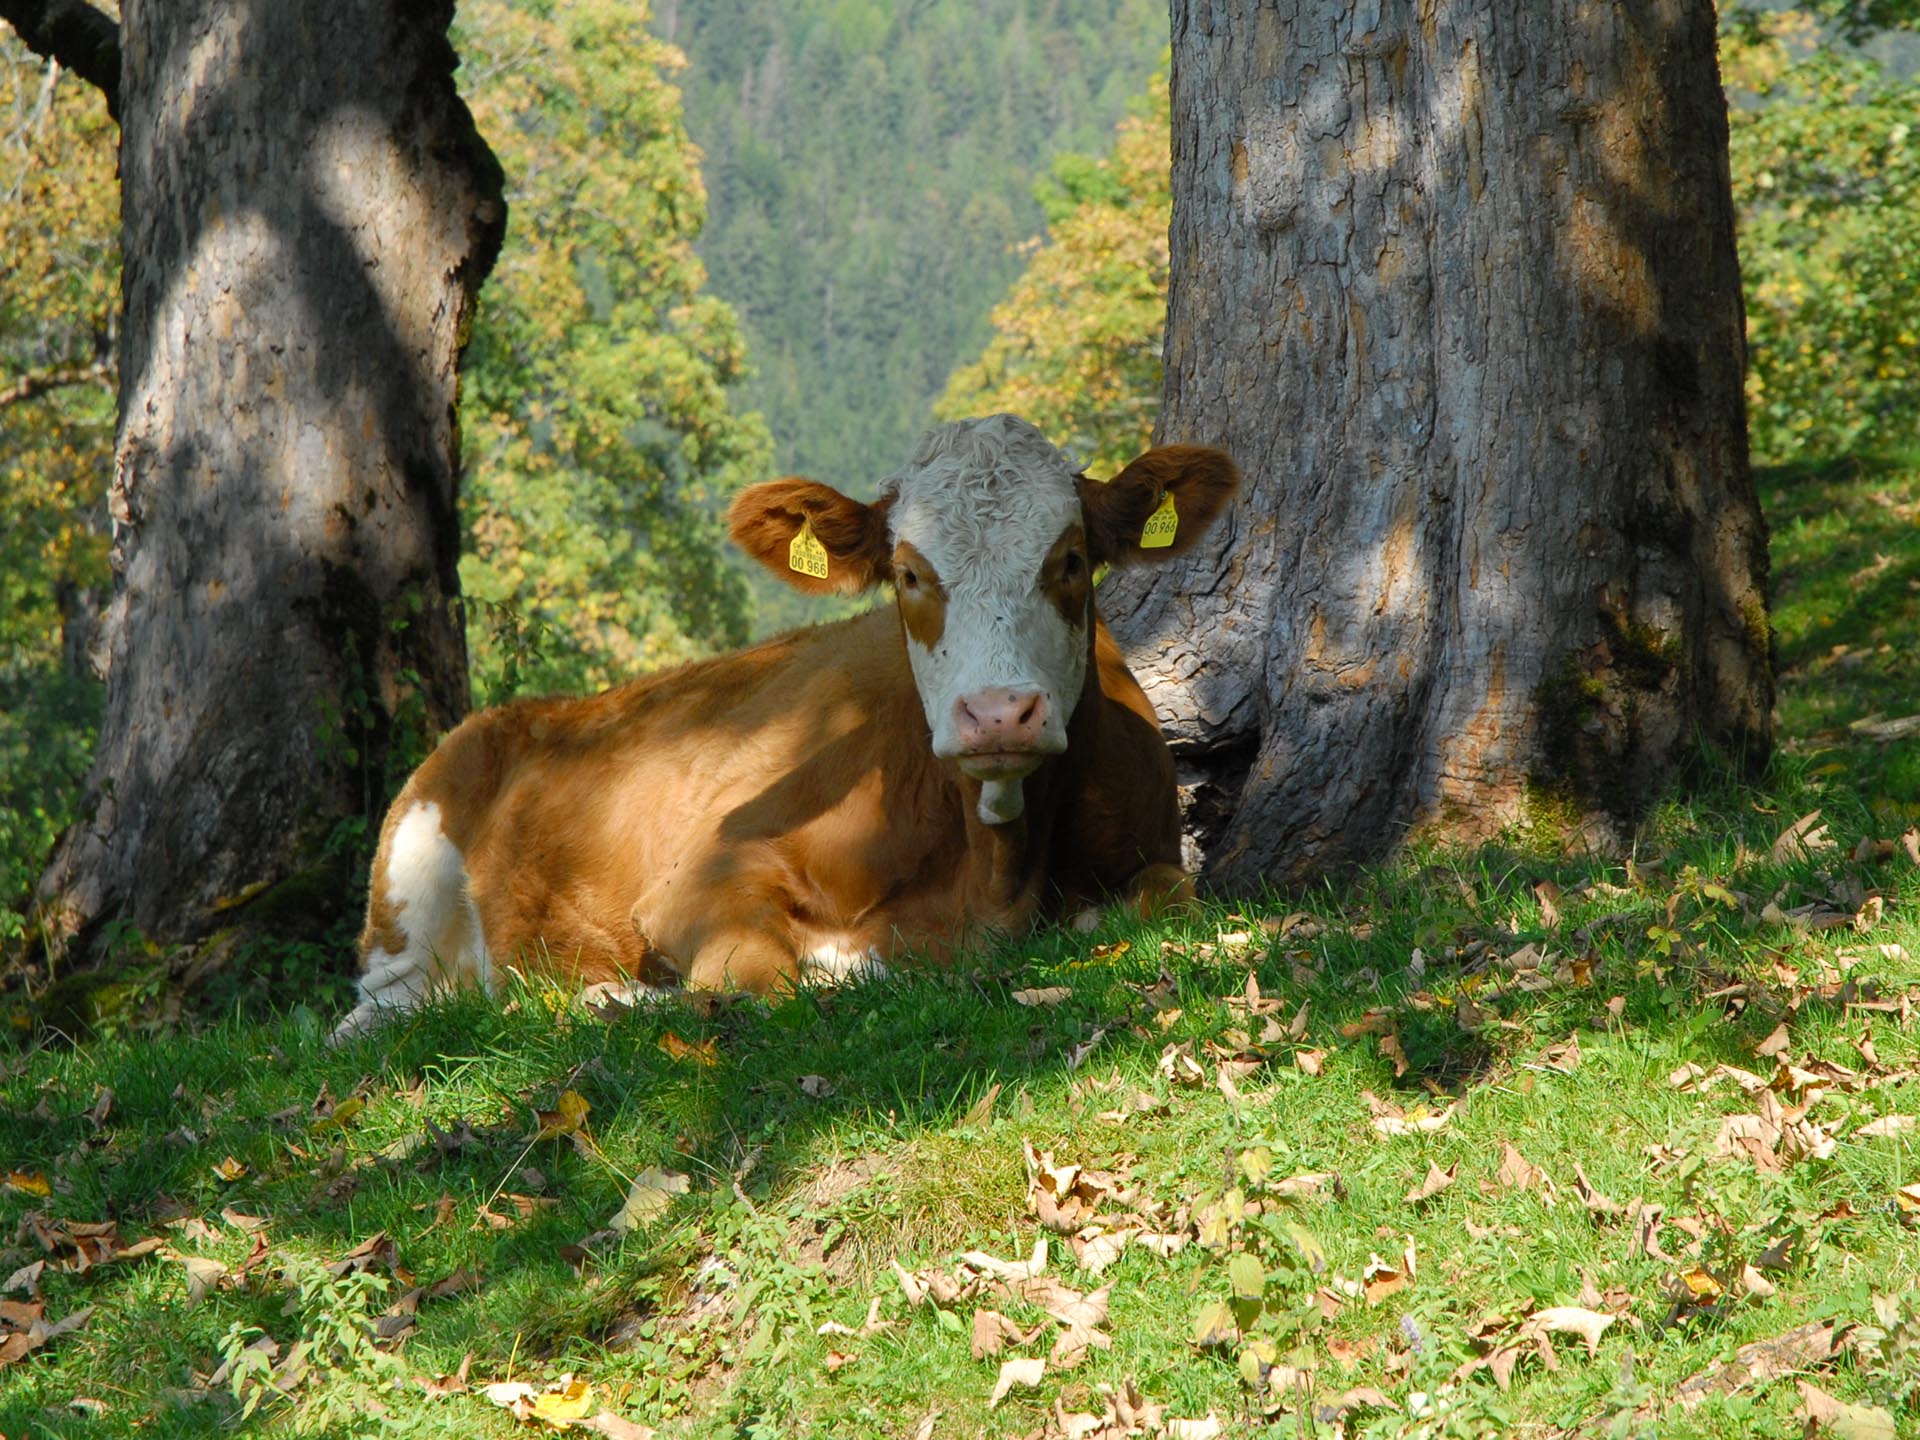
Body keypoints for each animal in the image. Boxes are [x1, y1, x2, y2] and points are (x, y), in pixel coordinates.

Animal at [333, 414, 1236, 1038]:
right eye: (909, 574)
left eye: (1071, 562)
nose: (997, 714)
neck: (993, 879)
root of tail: (527, 711)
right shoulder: (703, 872)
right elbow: (752, 982)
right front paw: (634, 993)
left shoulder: (1148, 852)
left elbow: (1170, 896)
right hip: (409, 885)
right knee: (382, 1010)